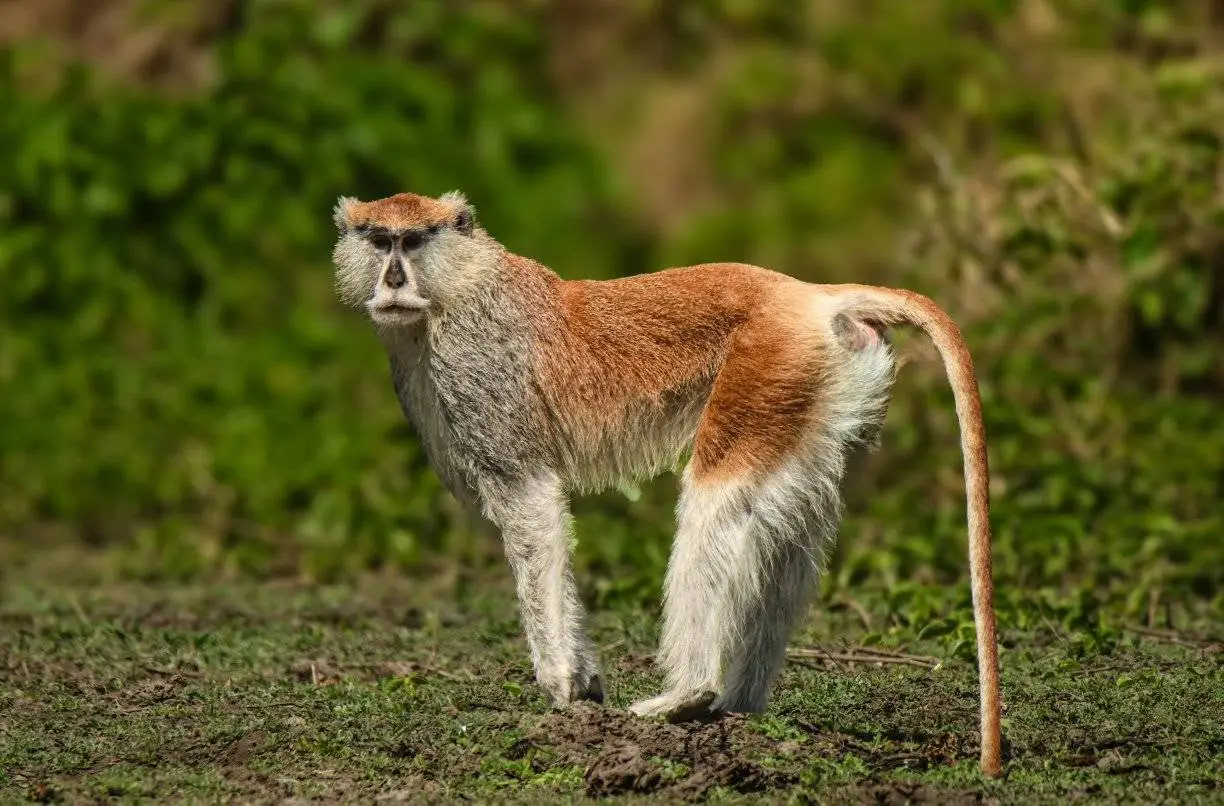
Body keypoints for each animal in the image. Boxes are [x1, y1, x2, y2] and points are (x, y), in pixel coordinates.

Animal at [330, 190, 1003, 778]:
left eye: (413, 241)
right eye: (378, 239)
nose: (393, 280)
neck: (462, 283)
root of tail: (812, 295)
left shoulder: (476, 373)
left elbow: (531, 509)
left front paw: (559, 684)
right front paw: (585, 681)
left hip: (766, 366)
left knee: (715, 502)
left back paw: (687, 695)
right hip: (811, 387)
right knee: (793, 528)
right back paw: (739, 707)